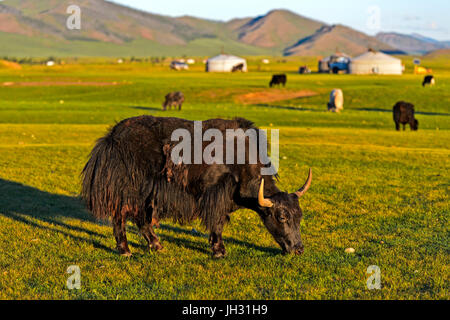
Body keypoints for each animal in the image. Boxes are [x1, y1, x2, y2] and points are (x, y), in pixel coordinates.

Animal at [81, 116, 312, 258]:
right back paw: (125, 250)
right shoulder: (215, 194)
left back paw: (157, 245)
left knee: (141, 219)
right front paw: (219, 251)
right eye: (281, 217)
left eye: (299, 216)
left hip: (146, 194)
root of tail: (111, 137)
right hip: (128, 189)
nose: (299, 249)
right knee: (120, 216)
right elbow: (217, 222)